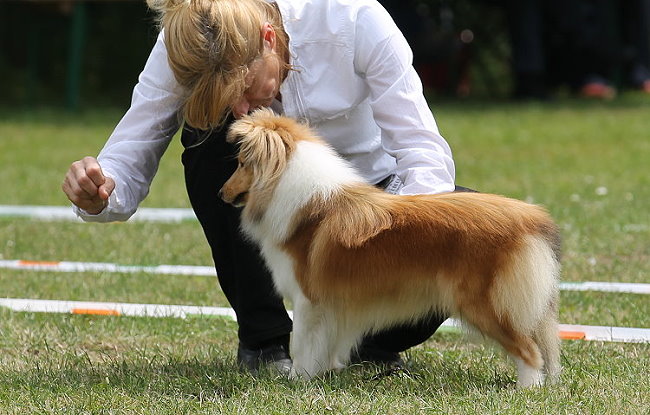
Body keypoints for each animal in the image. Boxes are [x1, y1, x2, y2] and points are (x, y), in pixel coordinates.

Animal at [219, 108, 561, 388]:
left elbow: (303, 343)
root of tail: (530, 218)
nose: (221, 193)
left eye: (241, 164)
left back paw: (526, 389)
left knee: (530, 351)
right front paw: (325, 372)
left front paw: (297, 379)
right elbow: (327, 342)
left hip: (485, 304)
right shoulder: (333, 305)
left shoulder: (309, 300)